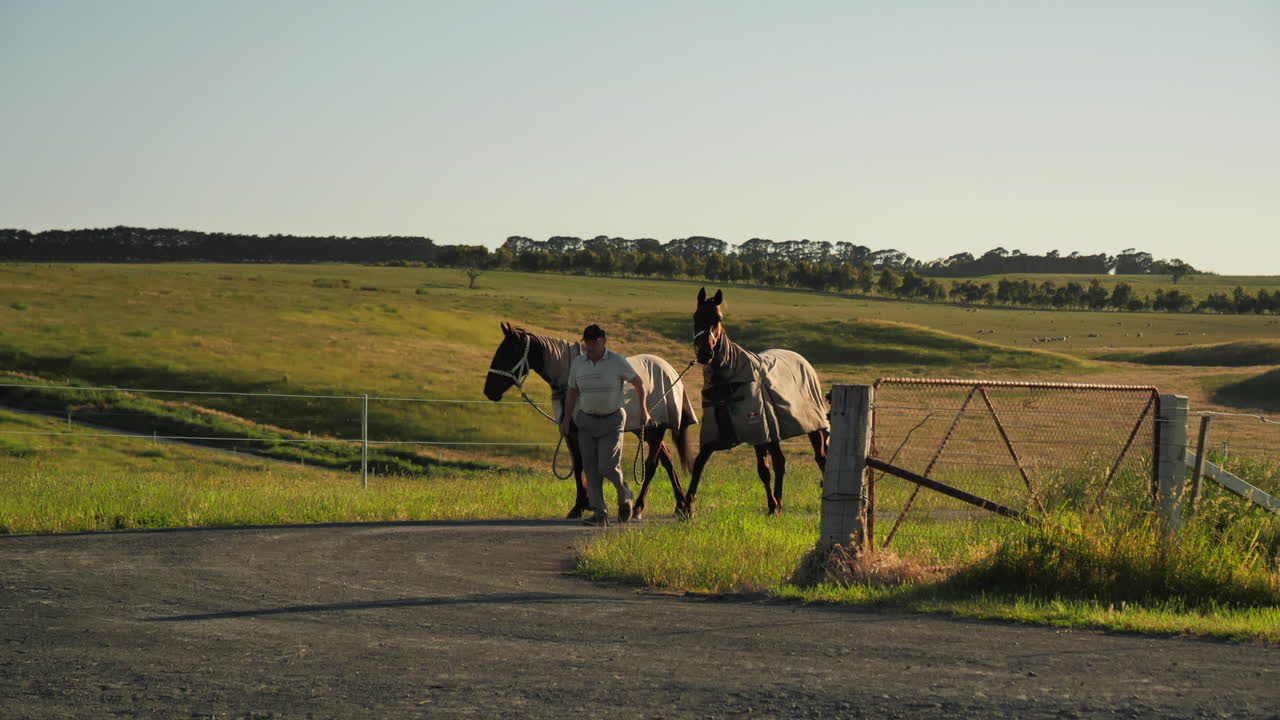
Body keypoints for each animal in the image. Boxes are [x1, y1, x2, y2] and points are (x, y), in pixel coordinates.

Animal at [483, 321, 698, 519]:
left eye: (508, 353)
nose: (489, 391)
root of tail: (669, 370)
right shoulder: (570, 432)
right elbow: (579, 465)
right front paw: (580, 506)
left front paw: (583, 505)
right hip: (645, 430)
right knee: (667, 459)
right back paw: (681, 505)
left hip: (656, 429)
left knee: (652, 465)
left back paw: (639, 507)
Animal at [686, 288, 830, 516]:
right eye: (696, 316)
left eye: (718, 318)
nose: (705, 353)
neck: (727, 384)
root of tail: (803, 361)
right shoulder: (717, 436)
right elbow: (699, 463)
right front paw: (685, 506)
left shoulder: (759, 433)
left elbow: (763, 470)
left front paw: (771, 505)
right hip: (775, 431)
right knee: (780, 462)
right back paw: (780, 503)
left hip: (812, 427)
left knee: (821, 458)